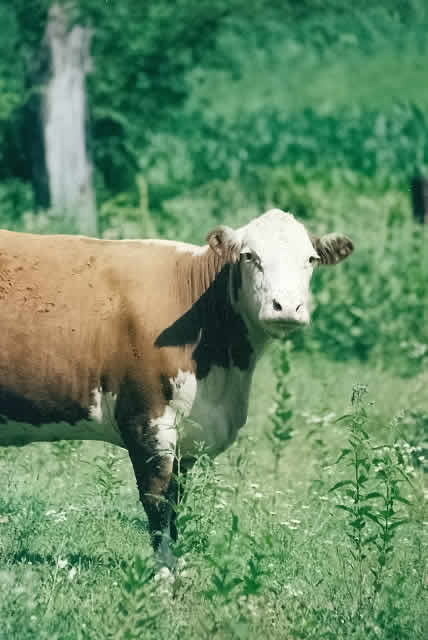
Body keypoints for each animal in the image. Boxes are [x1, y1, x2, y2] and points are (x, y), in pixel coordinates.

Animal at [0, 209, 353, 569]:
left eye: (310, 259)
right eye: (249, 256)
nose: (286, 307)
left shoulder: (190, 433)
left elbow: (177, 499)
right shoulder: (146, 419)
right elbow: (157, 500)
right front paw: (163, 571)